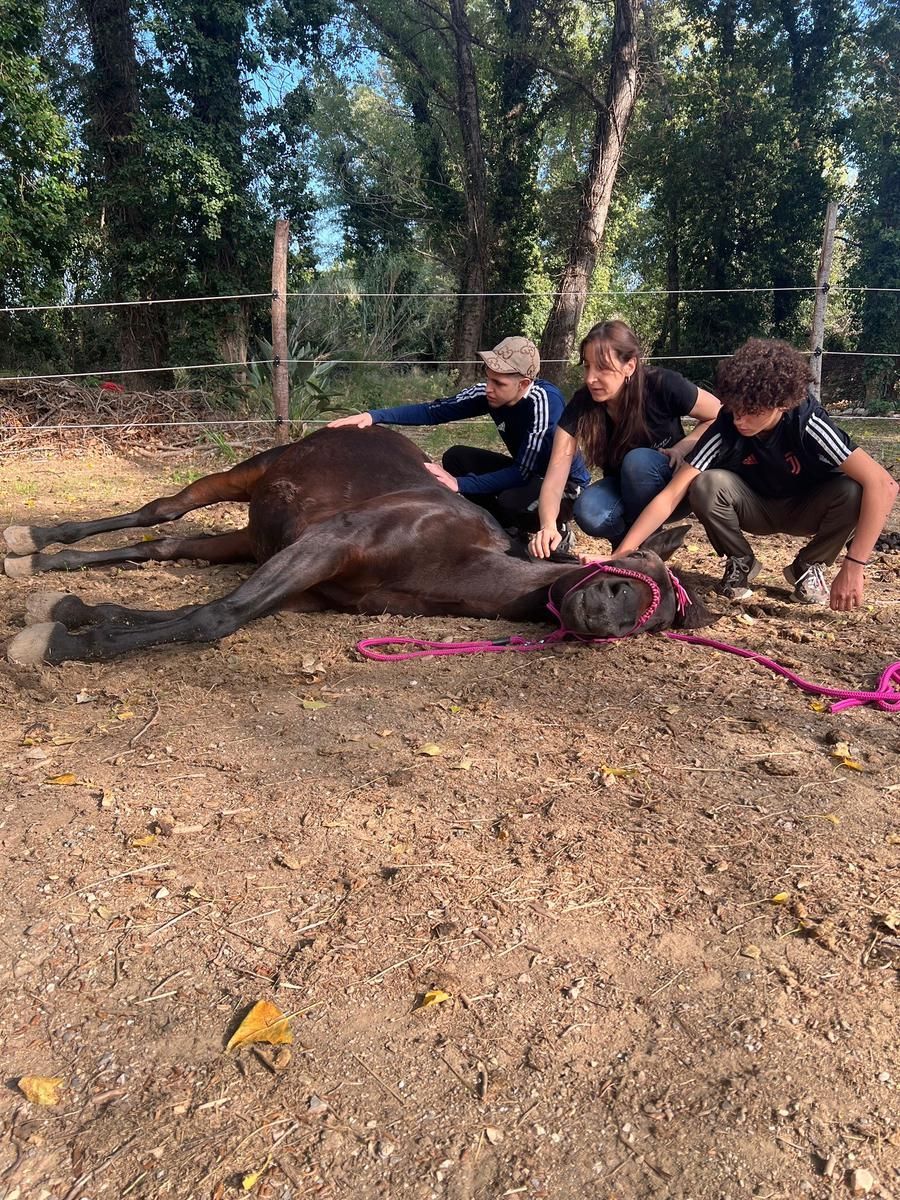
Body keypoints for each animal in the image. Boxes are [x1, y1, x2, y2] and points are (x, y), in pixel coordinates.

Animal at [2, 427, 715, 666]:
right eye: (637, 562)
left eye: (660, 622)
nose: (607, 611)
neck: (449, 559)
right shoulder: (326, 547)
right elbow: (215, 617)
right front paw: (68, 643)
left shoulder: (311, 589)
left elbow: (181, 612)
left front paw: (71, 617)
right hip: (250, 474)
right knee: (162, 510)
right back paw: (34, 539)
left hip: (251, 540)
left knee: (168, 545)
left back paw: (53, 563)